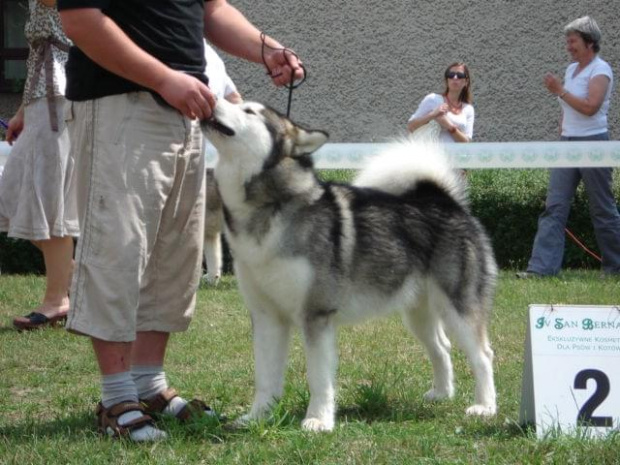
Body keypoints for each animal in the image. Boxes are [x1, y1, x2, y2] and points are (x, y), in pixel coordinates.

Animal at [203, 99, 498, 430]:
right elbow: (265, 376)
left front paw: (318, 420)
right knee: (441, 347)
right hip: (418, 312)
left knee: (483, 354)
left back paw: (485, 406)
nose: (211, 97)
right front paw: (257, 417)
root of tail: (445, 201)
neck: (271, 208)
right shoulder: (267, 316)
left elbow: (318, 377)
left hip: (457, 306)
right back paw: (442, 393)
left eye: (249, 111)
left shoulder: (316, 314)